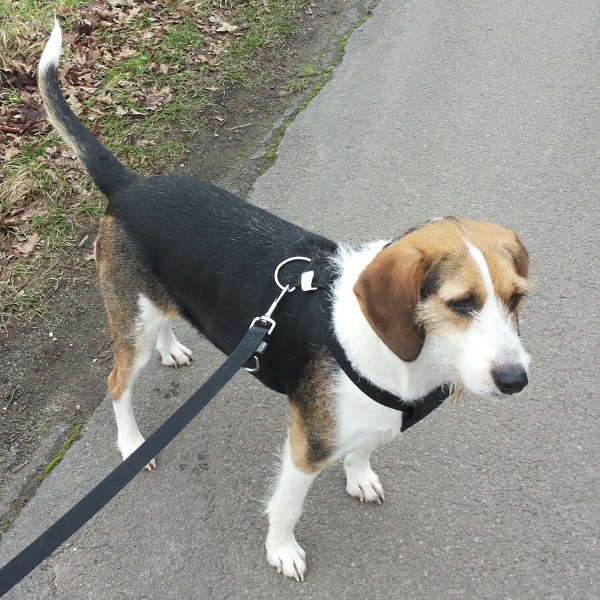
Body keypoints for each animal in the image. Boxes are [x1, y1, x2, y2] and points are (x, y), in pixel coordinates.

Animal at [39, 21, 530, 581]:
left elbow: (362, 449)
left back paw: (171, 349)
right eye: (460, 303)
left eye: (517, 299)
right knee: (118, 384)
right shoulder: (305, 446)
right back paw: (133, 444)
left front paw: (359, 475)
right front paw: (282, 551)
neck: (404, 358)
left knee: (160, 322)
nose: (515, 380)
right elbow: (287, 507)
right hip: (129, 329)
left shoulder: (364, 421)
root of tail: (130, 185)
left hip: (149, 307)